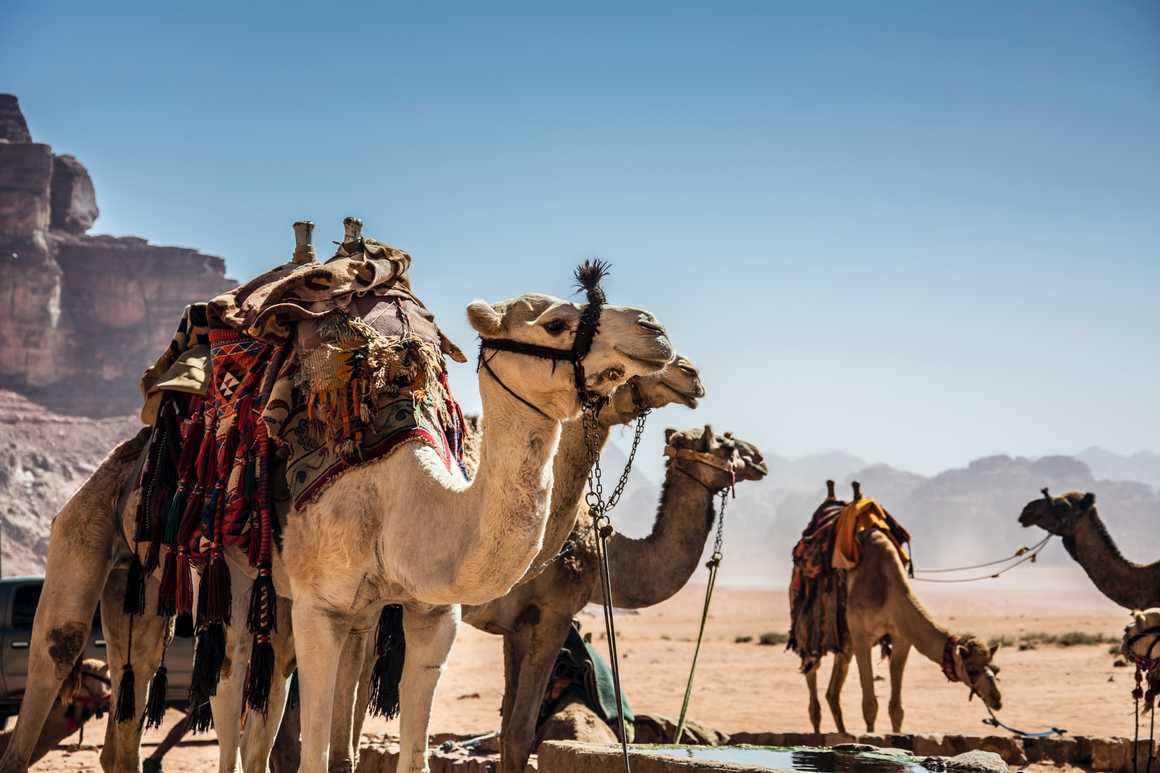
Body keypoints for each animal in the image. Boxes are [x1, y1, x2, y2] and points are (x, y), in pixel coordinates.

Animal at [801, 485, 1003, 735]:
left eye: (996, 669)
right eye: (972, 669)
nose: (997, 699)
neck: (886, 588)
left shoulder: (901, 638)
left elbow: (896, 709)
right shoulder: (861, 637)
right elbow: (870, 705)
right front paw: (870, 737)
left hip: (844, 640)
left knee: (833, 690)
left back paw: (842, 732)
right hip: (814, 628)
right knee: (811, 671)